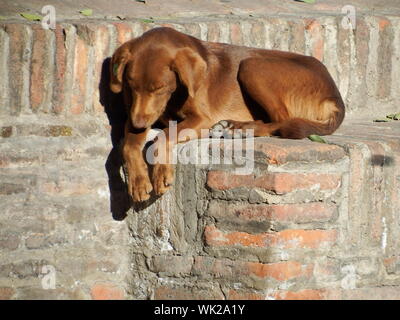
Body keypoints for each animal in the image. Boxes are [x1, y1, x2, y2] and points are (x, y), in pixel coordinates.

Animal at [109, 28, 344, 202]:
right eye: (130, 85)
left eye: (159, 88)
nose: (139, 124)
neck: (174, 96)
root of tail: (334, 95)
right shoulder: (135, 115)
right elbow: (129, 145)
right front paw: (138, 182)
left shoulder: (202, 119)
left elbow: (162, 136)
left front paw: (160, 174)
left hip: (252, 65)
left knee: (281, 120)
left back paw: (240, 128)